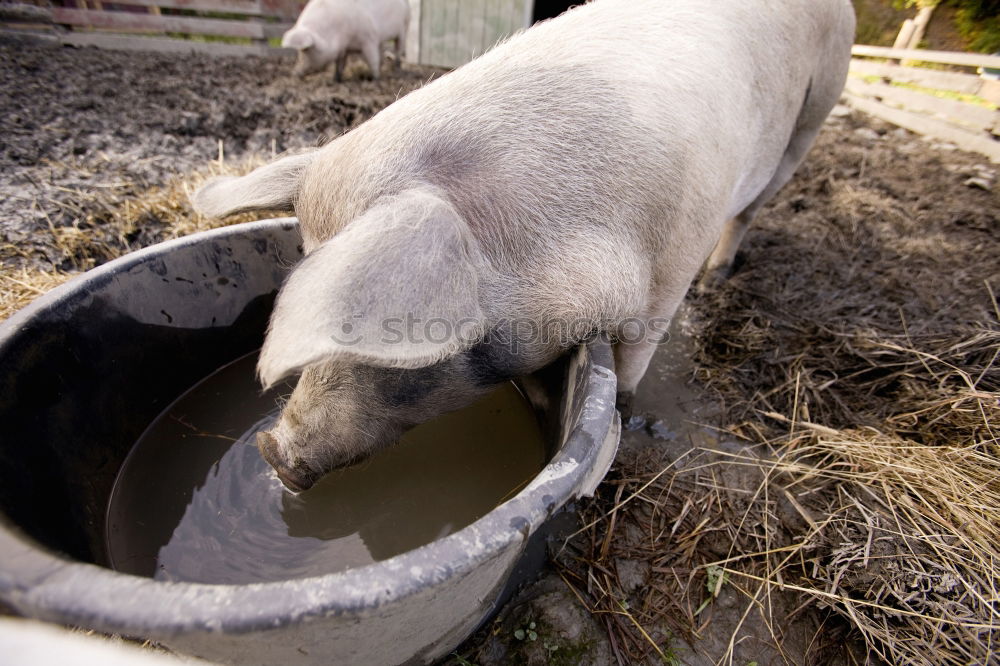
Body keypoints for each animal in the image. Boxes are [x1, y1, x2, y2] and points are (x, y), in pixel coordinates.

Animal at [280, 0, 408, 81]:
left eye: (305, 50)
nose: (294, 73)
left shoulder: (369, 38)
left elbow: (372, 60)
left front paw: (375, 79)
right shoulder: (343, 48)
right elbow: (340, 63)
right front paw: (336, 80)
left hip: (404, 25)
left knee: (398, 47)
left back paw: (397, 68)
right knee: (381, 50)